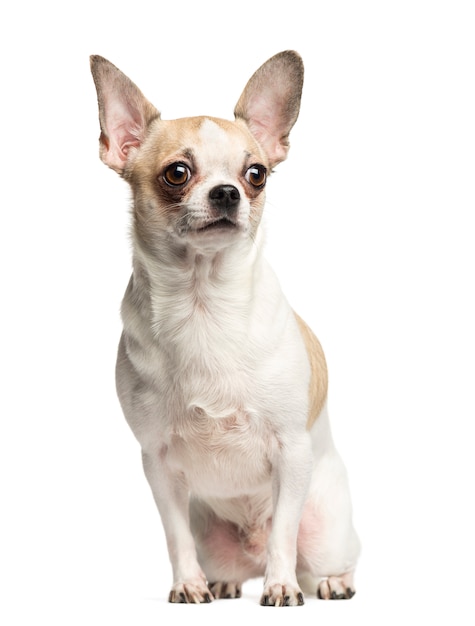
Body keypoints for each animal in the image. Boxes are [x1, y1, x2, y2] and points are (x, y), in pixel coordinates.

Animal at [90, 50, 360, 604]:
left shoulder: (291, 453)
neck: (204, 305)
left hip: (325, 530)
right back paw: (222, 580)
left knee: (322, 554)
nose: (228, 192)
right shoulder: (158, 463)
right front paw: (188, 586)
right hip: (211, 531)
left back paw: (328, 581)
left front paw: (281, 588)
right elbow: (174, 535)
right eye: (177, 173)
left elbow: (282, 532)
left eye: (256, 173)